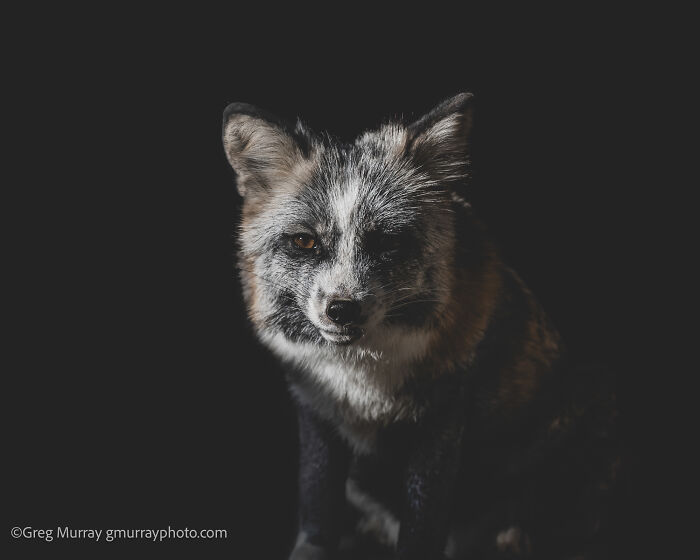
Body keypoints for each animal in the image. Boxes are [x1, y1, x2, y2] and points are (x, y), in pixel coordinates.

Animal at [222, 93, 619, 560]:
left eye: (386, 242)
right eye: (305, 241)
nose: (342, 310)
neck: (362, 376)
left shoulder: (442, 417)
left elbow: (421, 524)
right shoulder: (315, 408)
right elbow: (316, 506)